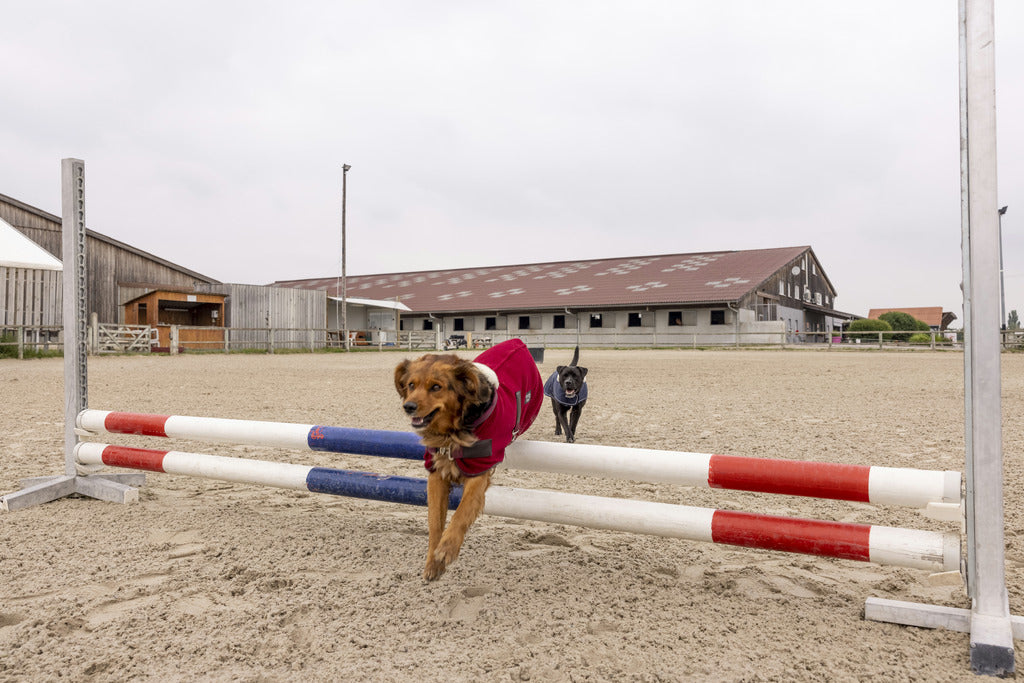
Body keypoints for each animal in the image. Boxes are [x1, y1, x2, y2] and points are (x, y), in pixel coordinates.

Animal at [393, 339, 544, 581]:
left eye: (436, 387)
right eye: (410, 385)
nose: (408, 406)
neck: (451, 432)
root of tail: (516, 342)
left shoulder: (479, 472)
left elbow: (462, 512)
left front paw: (447, 549)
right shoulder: (436, 472)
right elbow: (434, 522)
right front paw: (433, 561)